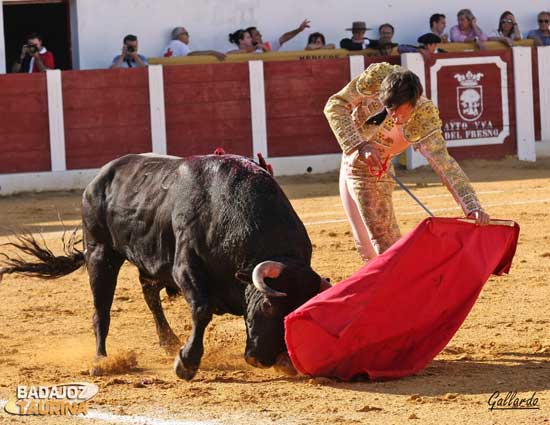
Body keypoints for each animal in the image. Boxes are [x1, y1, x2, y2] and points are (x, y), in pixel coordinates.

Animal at [0, 154, 332, 380]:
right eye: (266, 307)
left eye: (292, 315)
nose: (260, 360)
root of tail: (99, 178)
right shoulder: (185, 268)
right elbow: (202, 309)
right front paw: (186, 362)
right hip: (100, 253)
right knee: (101, 310)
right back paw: (102, 361)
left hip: (147, 260)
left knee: (149, 295)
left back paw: (168, 340)